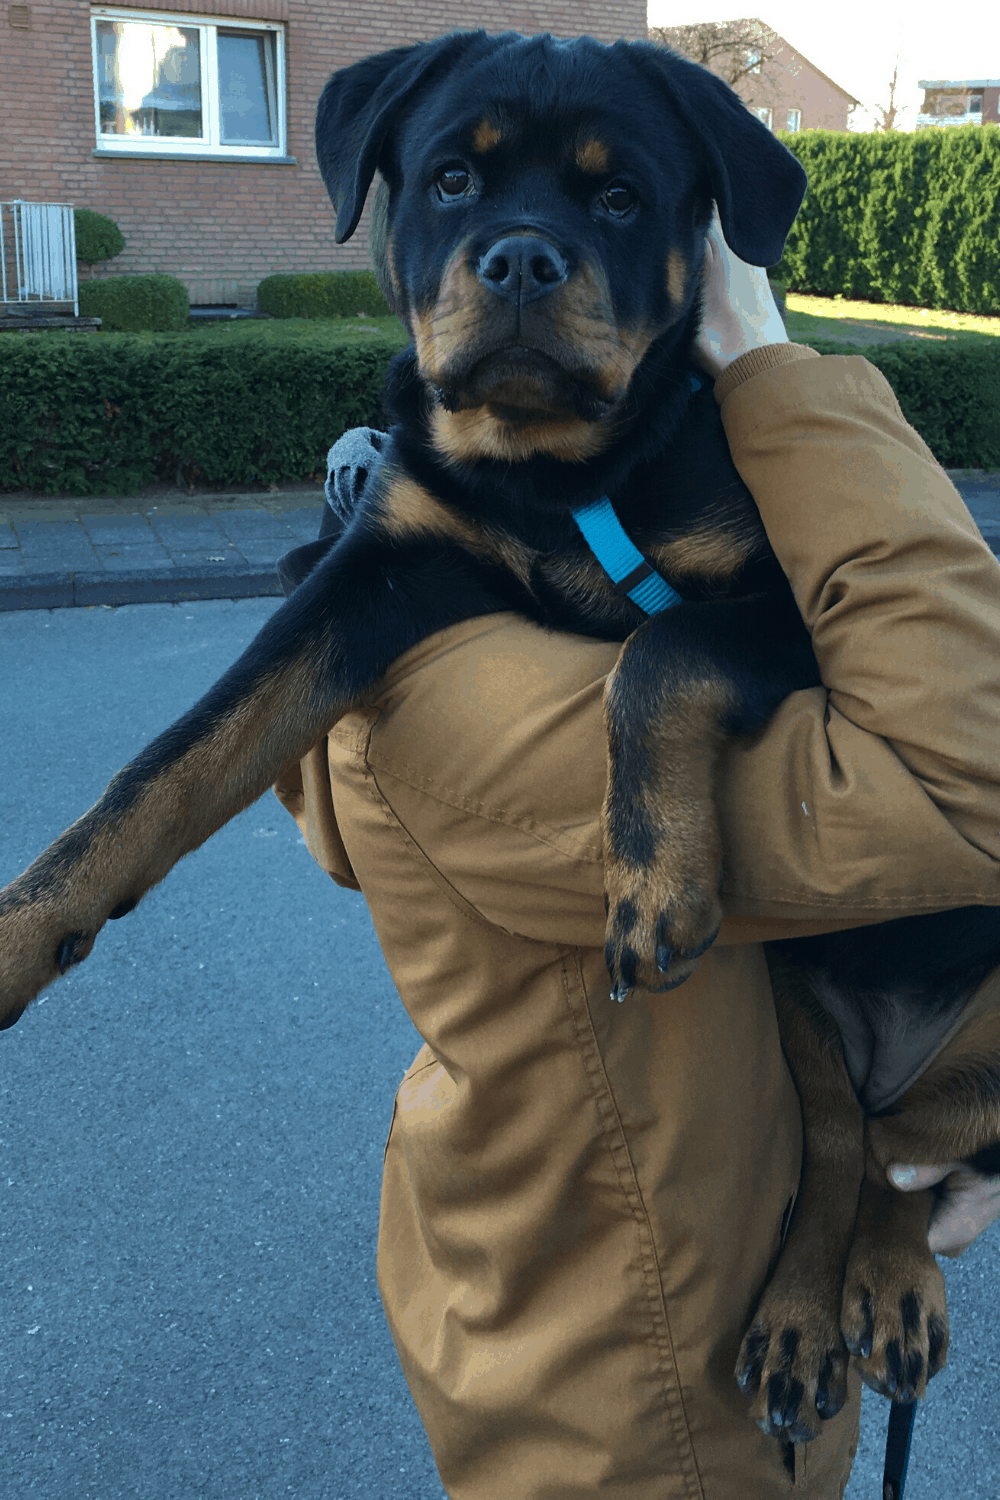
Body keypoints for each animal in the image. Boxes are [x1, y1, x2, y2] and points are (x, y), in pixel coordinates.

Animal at [1, 26, 1000, 1452]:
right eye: (453, 180)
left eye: (621, 198)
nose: (522, 258)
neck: (553, 479)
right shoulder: (375, 576)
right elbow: (178, 758)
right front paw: (26, 929)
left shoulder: (785, 612)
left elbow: (658, 652)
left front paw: (651, 877)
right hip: (804, 1004)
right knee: (841, 1139)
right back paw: (812, 1311)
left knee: (905, 1154)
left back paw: (889, 1288)